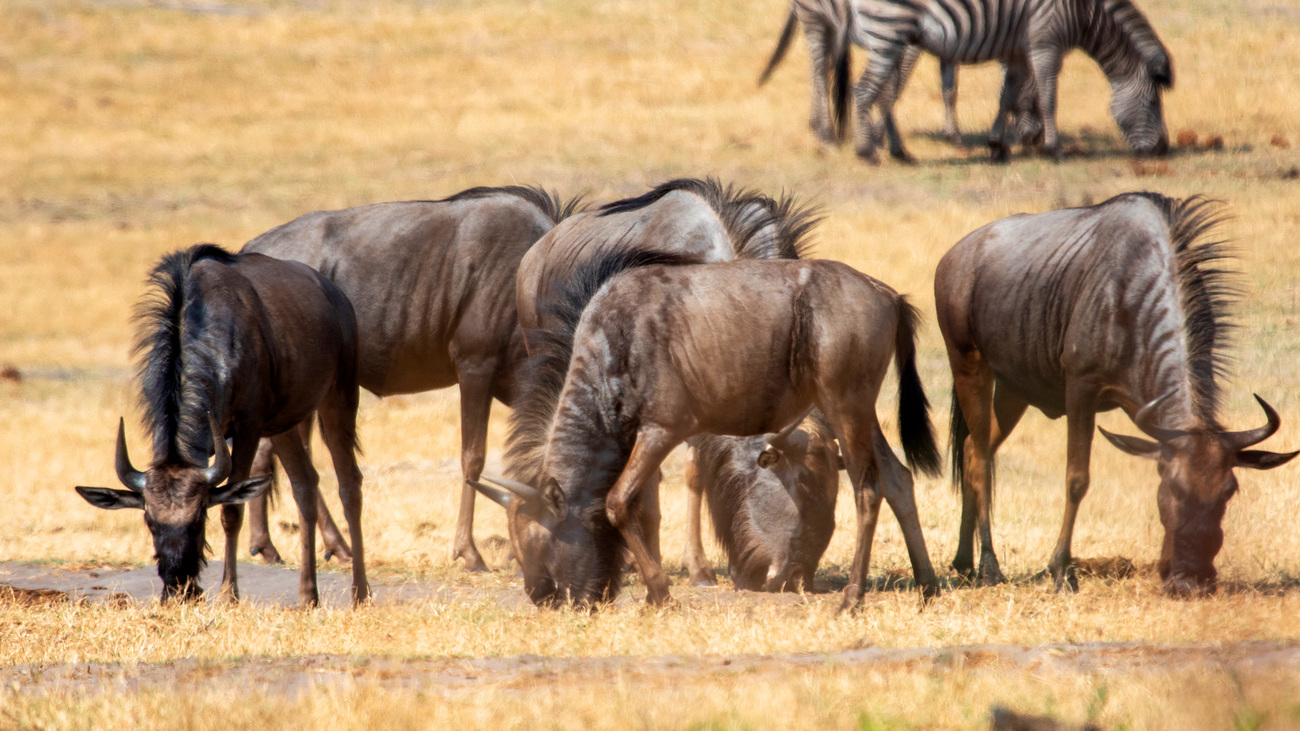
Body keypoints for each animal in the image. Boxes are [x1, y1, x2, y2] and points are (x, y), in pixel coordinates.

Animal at [847, 0, 1175, 161]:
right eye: (1152, 102)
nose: (1162, 149)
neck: (1084, 12)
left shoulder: (1018, 50)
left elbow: (1007, 96)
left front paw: (996, 145)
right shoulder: (1045, 42)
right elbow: (1048, 95)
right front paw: (1053, 148)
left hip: (897, 37)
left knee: (883, 90)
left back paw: (894, 148)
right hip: (892, 33)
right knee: (869, 89)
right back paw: (868, 149)